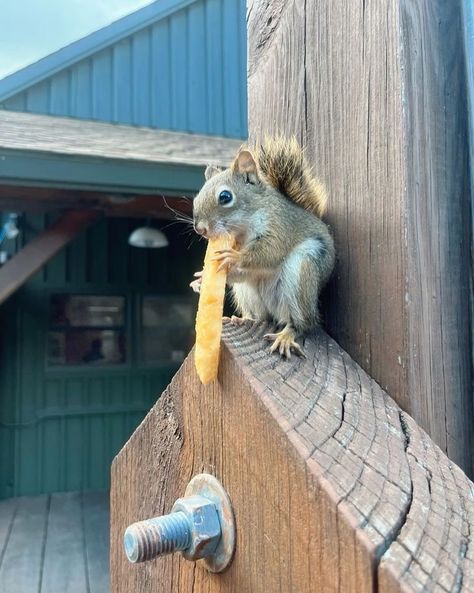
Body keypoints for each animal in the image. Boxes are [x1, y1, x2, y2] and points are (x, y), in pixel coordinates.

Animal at [191, 136, 336, 356]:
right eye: (196, 198)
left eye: (225, 197)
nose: (200, 229)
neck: (243, 229)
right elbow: (242, 271)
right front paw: (200, 279)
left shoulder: (279, 227)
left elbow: (270, 252)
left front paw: (235, 257)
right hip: (247, 294)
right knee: (260, 316)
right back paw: (241, 319)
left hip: (302, 274)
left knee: (303, 323)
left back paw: (287, 335)